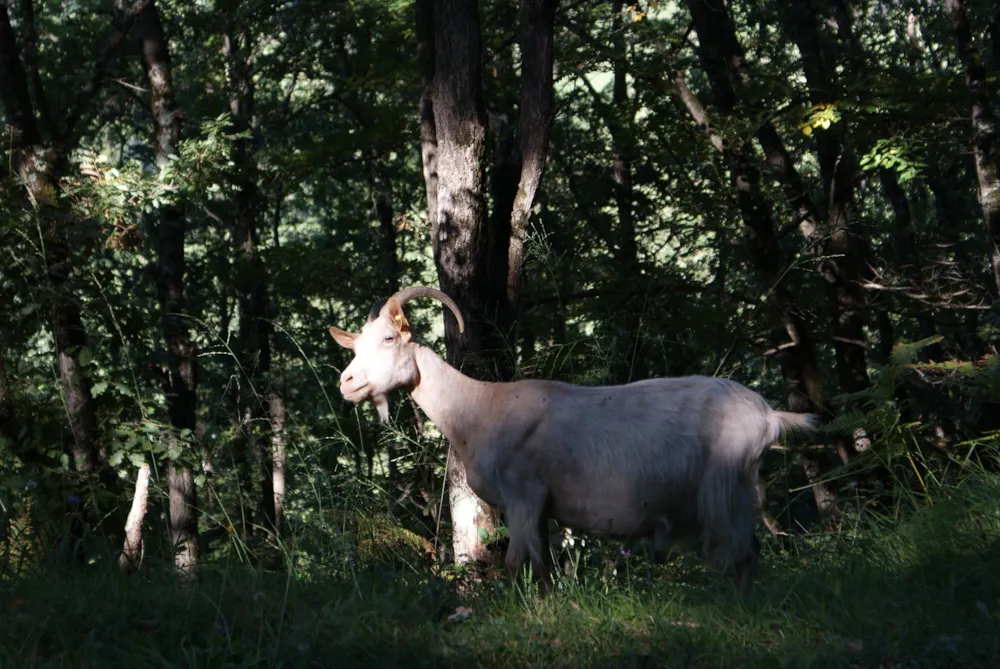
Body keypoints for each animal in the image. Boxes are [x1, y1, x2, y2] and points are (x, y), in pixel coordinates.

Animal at [330, 286, 820, 588]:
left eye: (389, 338)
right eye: (356, 346)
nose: (346, 382)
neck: (480, 407)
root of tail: (767, 415)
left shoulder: (524, 495)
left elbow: (514, 563)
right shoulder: (542, 506)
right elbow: (543, 568)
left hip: (726, 487)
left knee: (745, 552)